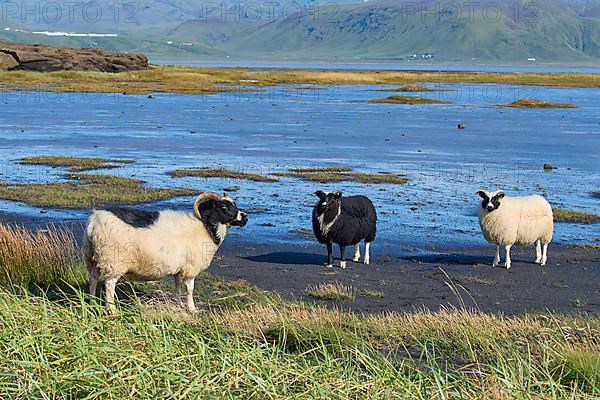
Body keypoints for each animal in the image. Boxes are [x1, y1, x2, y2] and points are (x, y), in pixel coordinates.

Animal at [83, 192, 247, 314]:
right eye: (224, 207)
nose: (245, 217)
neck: (205, 227)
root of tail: (93, 221)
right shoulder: (190, 268)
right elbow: (190, 289)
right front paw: (192, 309)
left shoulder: (180, 267)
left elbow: (178, 286)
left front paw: (178, 303)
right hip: (114, 261)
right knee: (109, 285)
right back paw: (112, 310)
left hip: (93, 258)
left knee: (93, 279)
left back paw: (91, 302)